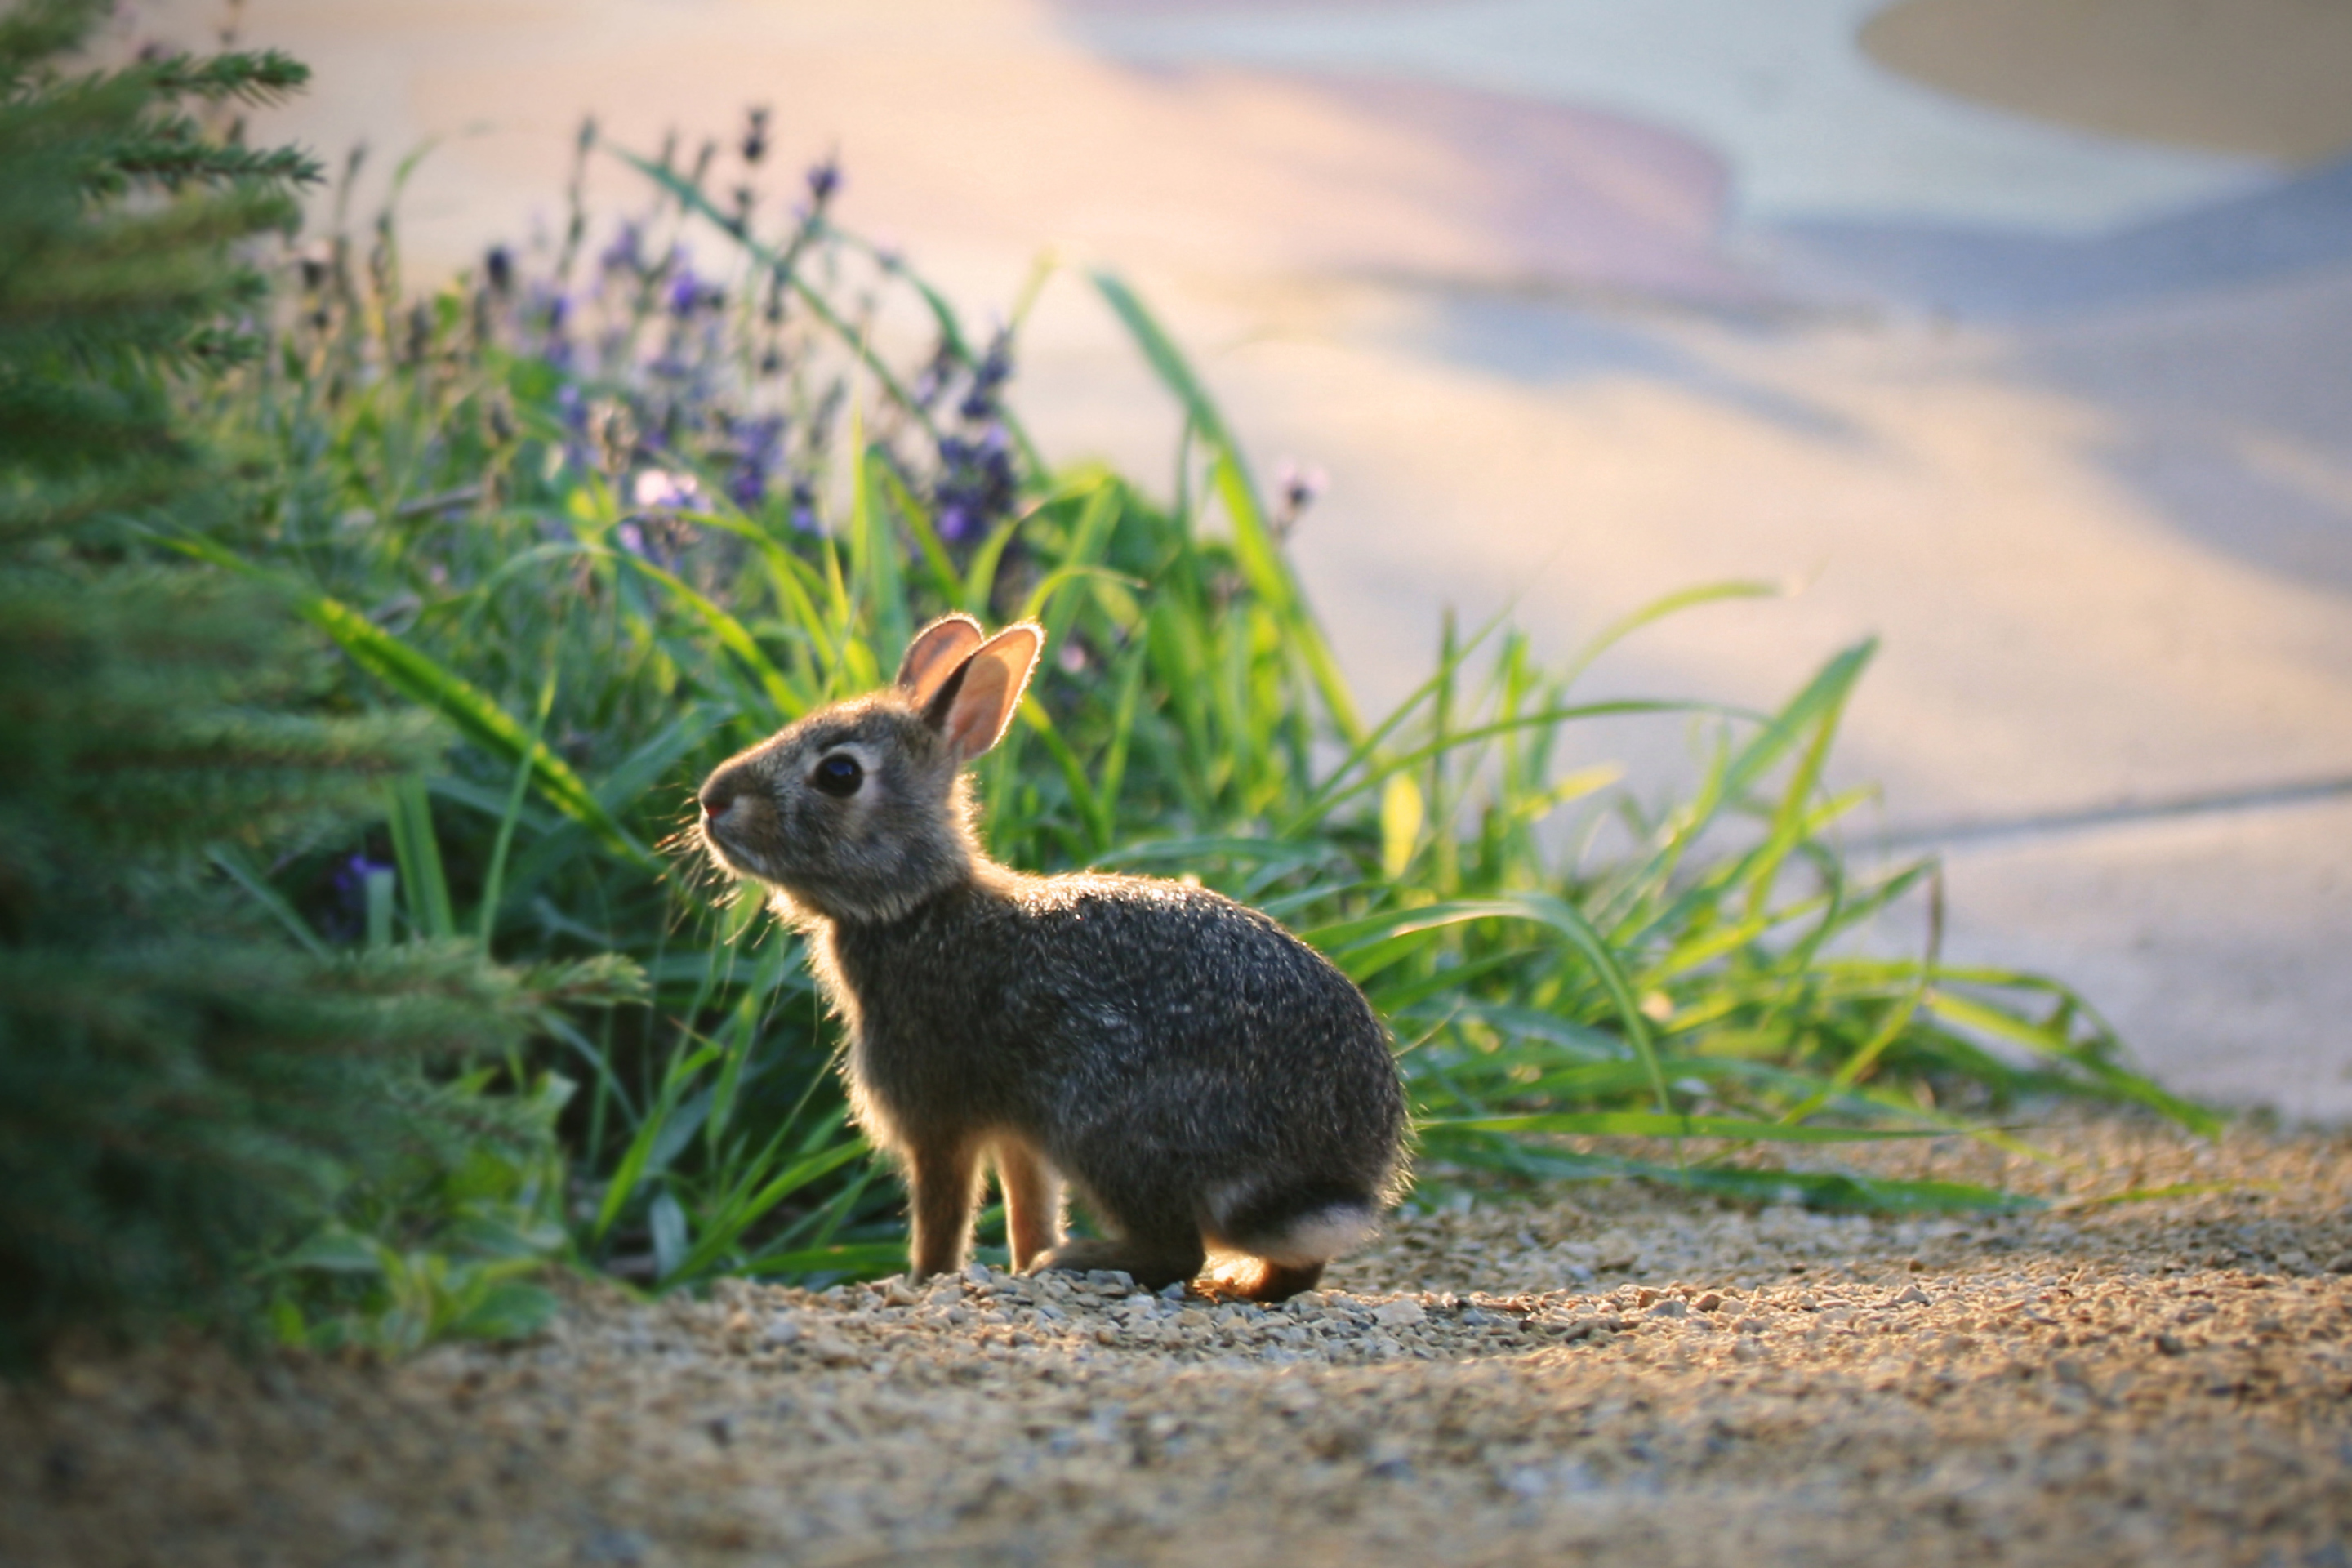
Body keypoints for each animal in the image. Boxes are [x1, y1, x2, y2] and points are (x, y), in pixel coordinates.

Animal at [686, 611, 1401, 1297]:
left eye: (839, 774)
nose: (712, 800)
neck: (917, 905)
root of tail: (1331, 1173)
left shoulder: (936, 1115)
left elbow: (942, 1214)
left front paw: (924, 1282)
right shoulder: (1016, 1134)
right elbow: (1028, 1204)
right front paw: (1021, 1260)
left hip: (1110, 1123)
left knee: (1178, 1251)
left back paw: (1084, 1261)